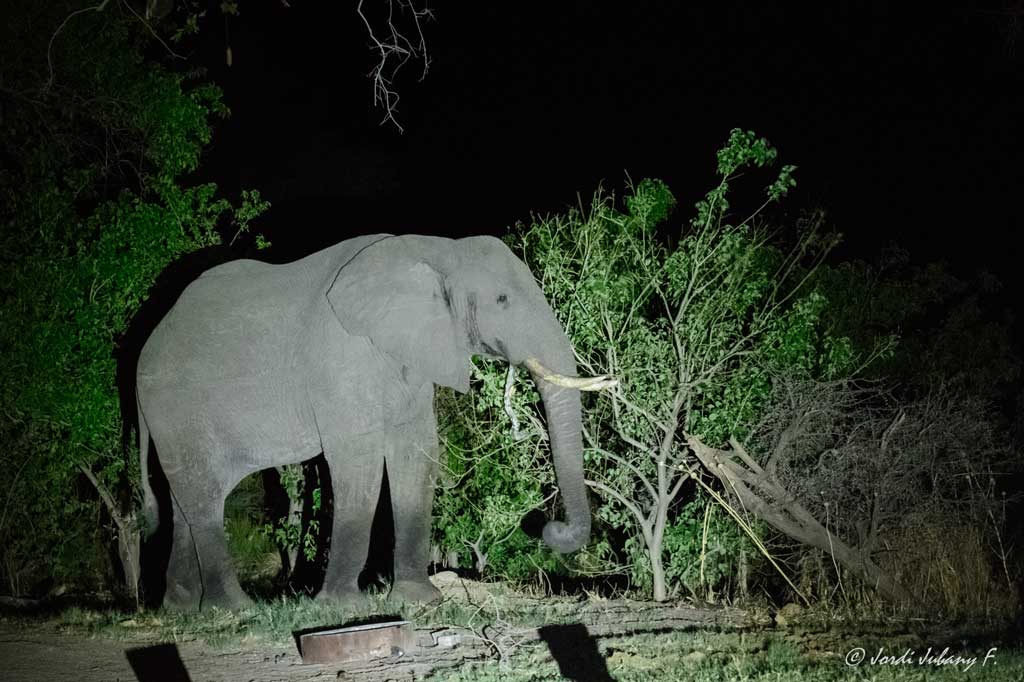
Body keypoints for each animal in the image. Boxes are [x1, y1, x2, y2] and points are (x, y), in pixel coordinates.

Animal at [136, 234, 597, 611]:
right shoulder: (342, 356)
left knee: (192, 496)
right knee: (202, 496)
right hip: (175, 406)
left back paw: (183, 609)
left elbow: (417, 450)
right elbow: (358, 459)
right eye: (501, 300)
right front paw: (344, 606)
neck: (436, 248)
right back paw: (233, 608)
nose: (547, 528)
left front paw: (419, 598)